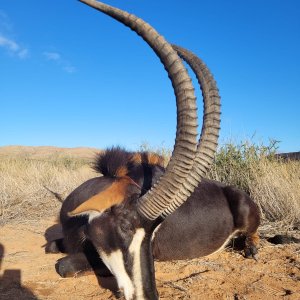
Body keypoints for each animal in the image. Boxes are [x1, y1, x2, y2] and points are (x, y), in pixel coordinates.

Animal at [47, 1, 260, 298]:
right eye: (124, 227)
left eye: (154, 232)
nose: (146, 295)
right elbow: (52, 245)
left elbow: (64, 265)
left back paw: (251, 248)